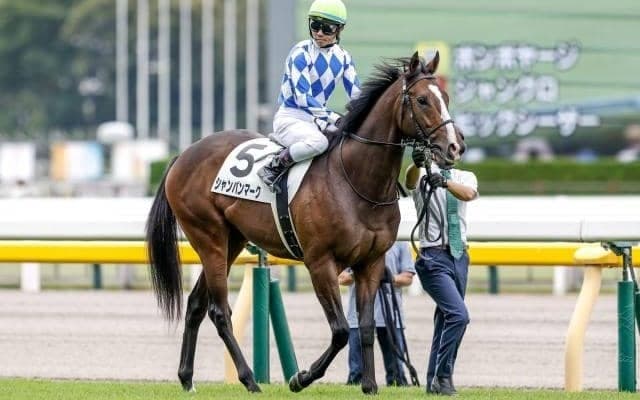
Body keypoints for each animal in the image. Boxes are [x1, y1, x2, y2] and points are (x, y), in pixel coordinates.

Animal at [145, 51, 465, 395]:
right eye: (422, 100)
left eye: (445, 97)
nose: (454, 146)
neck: (357, 181)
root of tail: (183, 155)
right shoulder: (320, 262)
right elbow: (341, 330)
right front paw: (300, 378)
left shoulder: (371, 262)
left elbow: (365, 326)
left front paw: (369, 386)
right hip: (209, 238)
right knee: (219, 312)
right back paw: (249, 380)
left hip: (232, 241)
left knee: (195, 304)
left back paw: (187, 378)